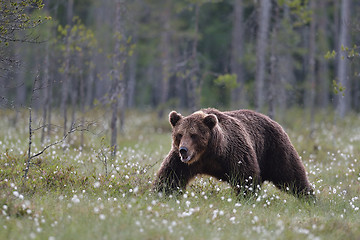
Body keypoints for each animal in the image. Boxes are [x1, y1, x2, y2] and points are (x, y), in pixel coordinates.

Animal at [153, 109, 314, 199]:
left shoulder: (235, 153)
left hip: (274, 149)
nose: (184, 150)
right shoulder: (181, 161)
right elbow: (171, 176)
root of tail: (272, 120)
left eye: (194, 135)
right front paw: (161, 193)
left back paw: (309, 197)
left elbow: (246, 177)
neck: (209, 153)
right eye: (179, 134)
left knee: (290, 174)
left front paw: (246, 197)